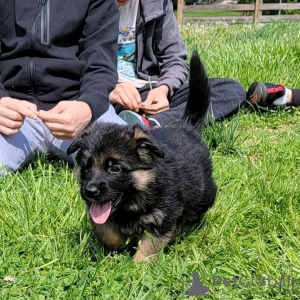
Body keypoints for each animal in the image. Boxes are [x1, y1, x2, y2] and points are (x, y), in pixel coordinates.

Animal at [68, 52, 217, 262]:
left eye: (115, 168)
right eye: (86, 167)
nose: (90, 191)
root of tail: (186, 128)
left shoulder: (162, 217)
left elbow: (149, 245)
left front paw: (139, 266)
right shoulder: (98, 212)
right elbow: (105, 229)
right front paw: (118, 244)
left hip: (204, 195)